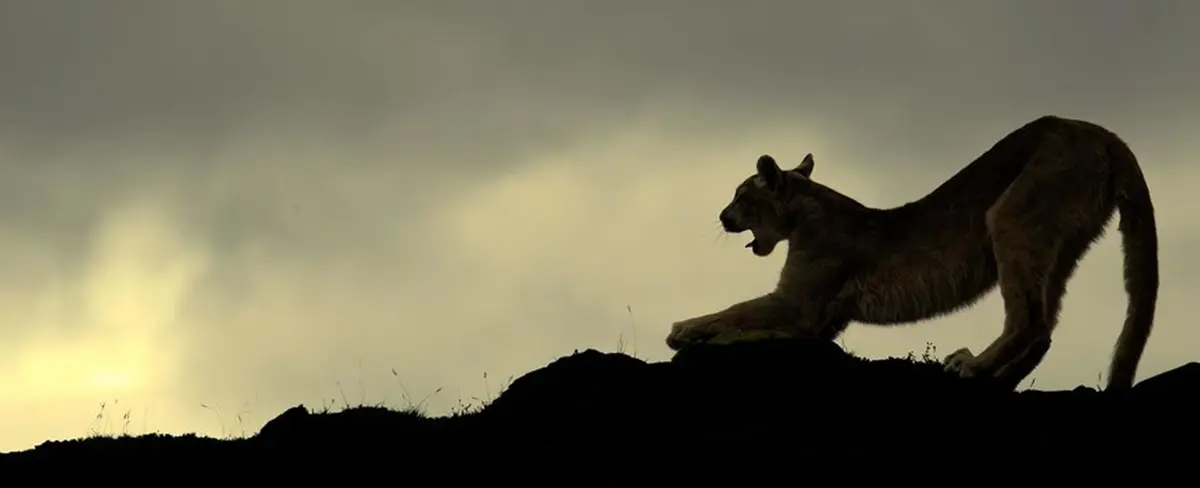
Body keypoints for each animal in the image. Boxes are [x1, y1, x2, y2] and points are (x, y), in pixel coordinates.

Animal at [665, 115, 1159, 391]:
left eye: (740, 196)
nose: (722, 216)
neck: (807, 211)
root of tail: (1104, 134)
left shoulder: (798, 301)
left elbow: (738, 310)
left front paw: (684, 331)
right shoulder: (820, 319)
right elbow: (760, 325)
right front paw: (706, 337)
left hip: (1011, 218)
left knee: (1030, 320)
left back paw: (972, 366)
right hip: (1060, 246)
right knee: (1045, 326)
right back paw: (997, 378)